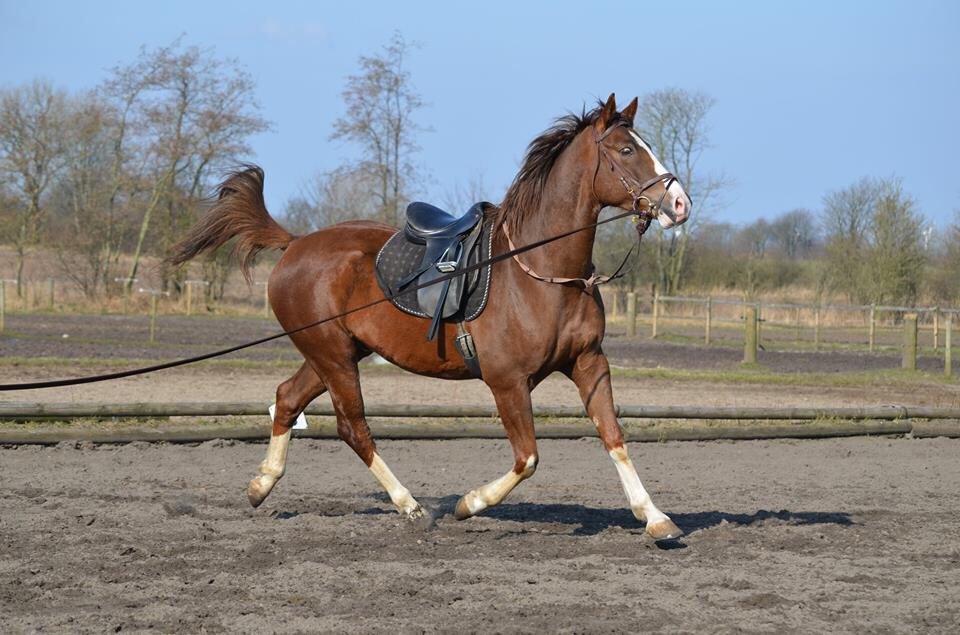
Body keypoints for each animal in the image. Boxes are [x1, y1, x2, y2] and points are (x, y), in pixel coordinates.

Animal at [167, 93, 688, 540]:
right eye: (627, 149)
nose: (680, 204)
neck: (542, 272)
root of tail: (295, 244)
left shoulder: (588, 363)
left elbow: (613, 436)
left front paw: (655, 518)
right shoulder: (507, 381)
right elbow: (527, 458)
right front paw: (468, 503)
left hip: (334, 353)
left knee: (287, 399)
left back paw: (262, 485)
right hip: (333, 356)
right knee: (352, 427)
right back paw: (411, 507)